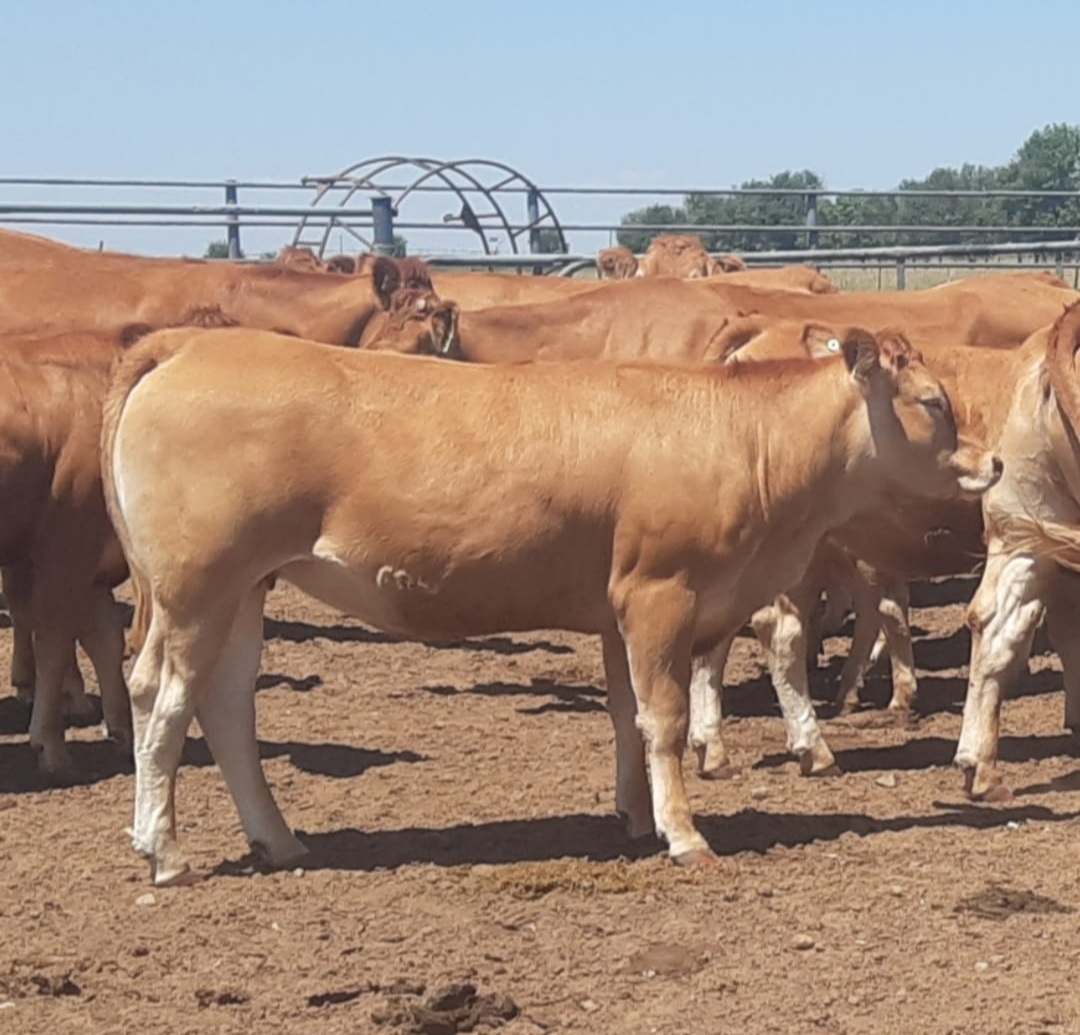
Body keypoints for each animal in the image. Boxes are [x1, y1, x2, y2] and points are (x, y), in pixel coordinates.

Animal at [101, 323, 999, 886]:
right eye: (932, 401)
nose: (991, 463)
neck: (741, 437)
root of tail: (190, 342)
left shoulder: (615, 610)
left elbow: (626, 715)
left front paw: (634, 815)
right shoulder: (659, 595)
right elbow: (665, 718)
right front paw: (684, 835)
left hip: (247, 588)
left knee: (225, 705)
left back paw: (280, 839)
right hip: (196, 588)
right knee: (163, 701)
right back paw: (165, 849)